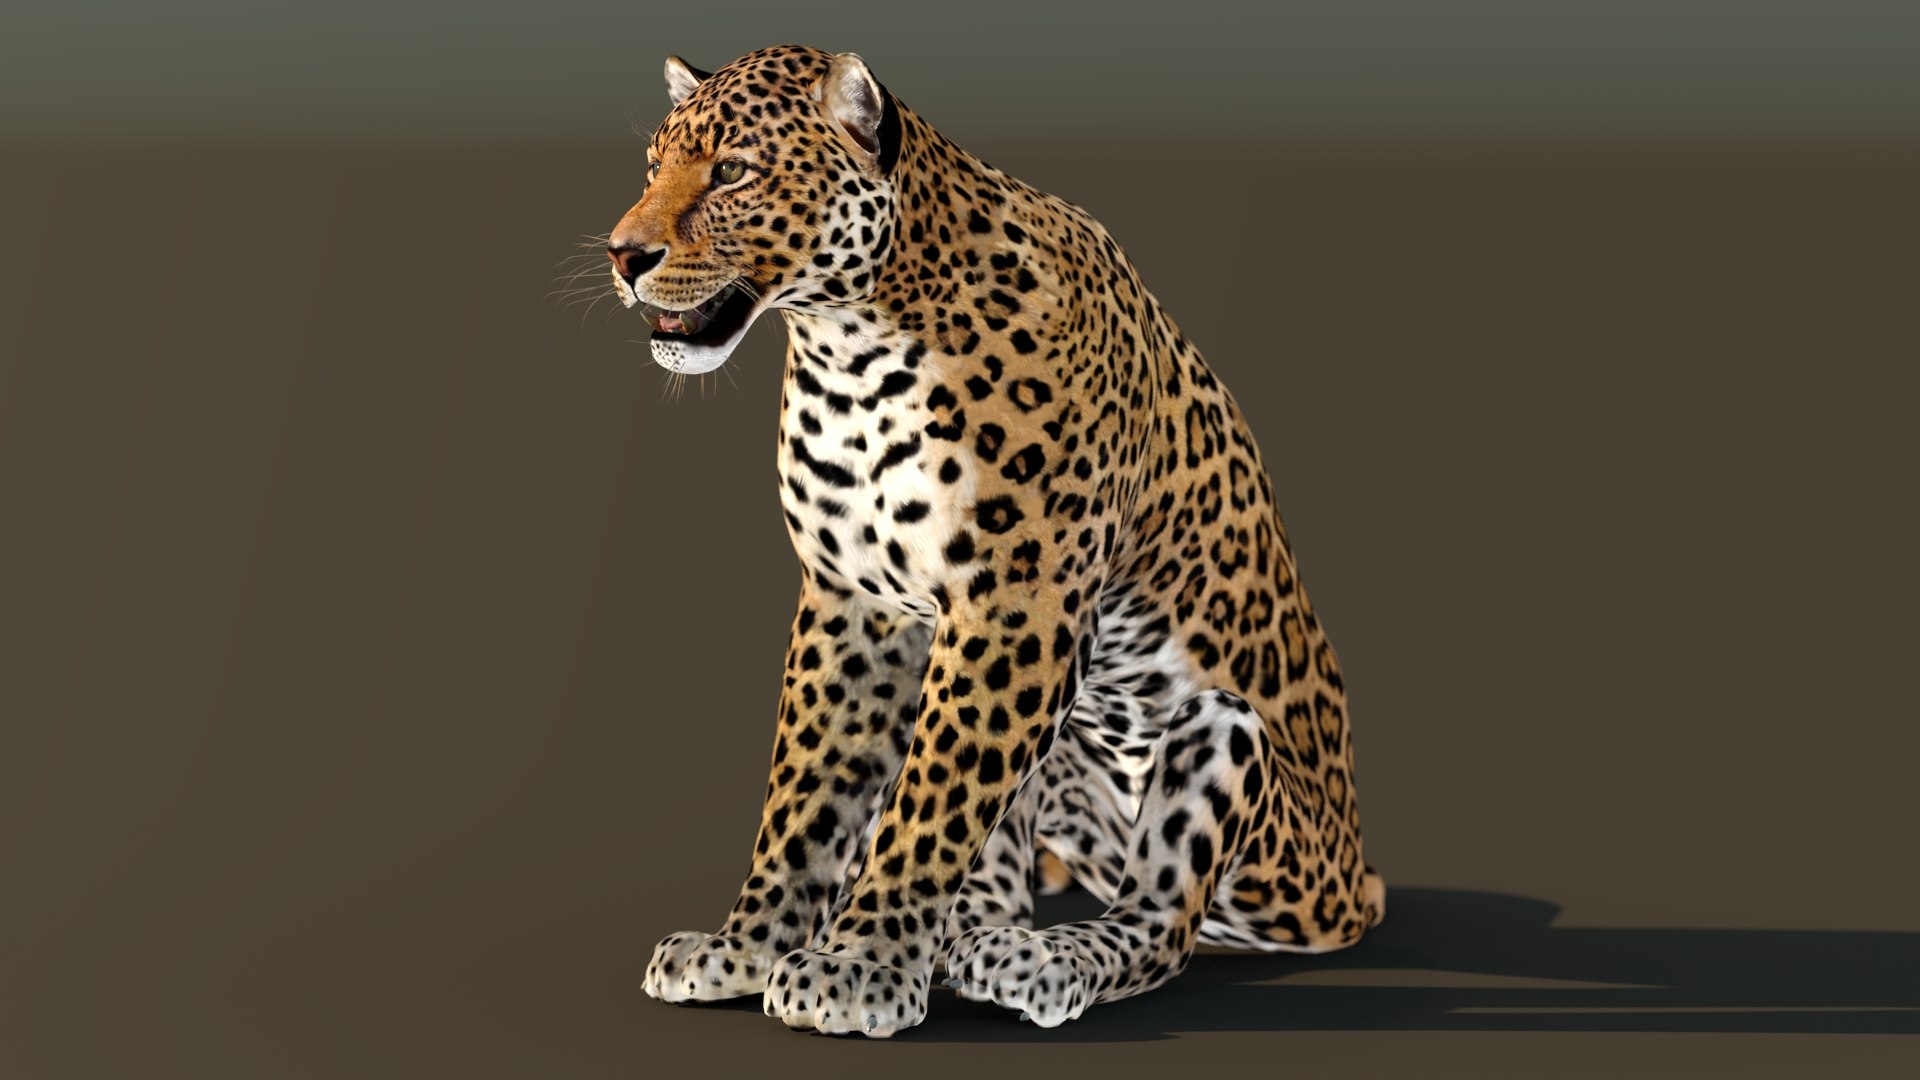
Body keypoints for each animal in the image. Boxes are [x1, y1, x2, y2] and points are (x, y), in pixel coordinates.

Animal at [610, 45, 1385, 1037]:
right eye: (650, 169)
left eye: (734, 172)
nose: (624, 255)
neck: (849, 348)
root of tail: (1357, 877)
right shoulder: (851, 603)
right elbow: (808, 792)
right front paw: (746, 946)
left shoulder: (1017, 605)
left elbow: (932, 802)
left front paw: (857, 967)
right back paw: (975, 939)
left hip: (1234, 761)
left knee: (1163, 921)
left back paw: (1046, 959)